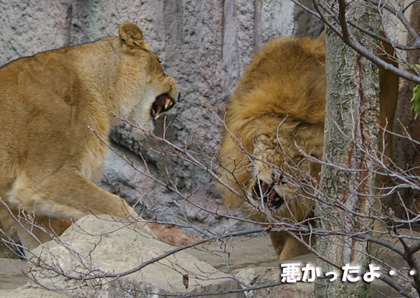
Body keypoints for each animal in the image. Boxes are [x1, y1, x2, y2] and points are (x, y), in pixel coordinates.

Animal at [0, 22, 179, 253]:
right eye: (159, 62)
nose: (180, 92)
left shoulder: (27, 208)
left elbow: (42, 247)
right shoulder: (42, 178)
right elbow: (117, 205)